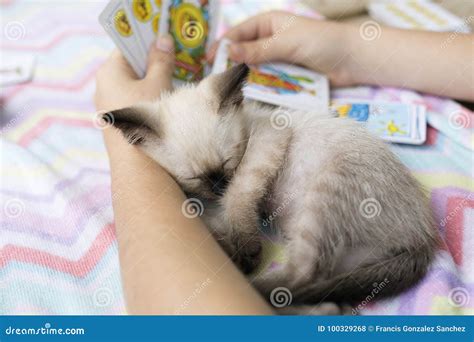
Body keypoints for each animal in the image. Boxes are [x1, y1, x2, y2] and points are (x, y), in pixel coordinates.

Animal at [105, 64, 438, 316]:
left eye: (227, 163)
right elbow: (216, 221)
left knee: (303, 275)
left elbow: (238, 197)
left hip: (327, 191)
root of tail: (423, 240)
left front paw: (246, 244)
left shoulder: (266, 144)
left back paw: (249, 279)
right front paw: (230, 238)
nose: (218, 185)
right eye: (195, 178)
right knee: (322, 288)